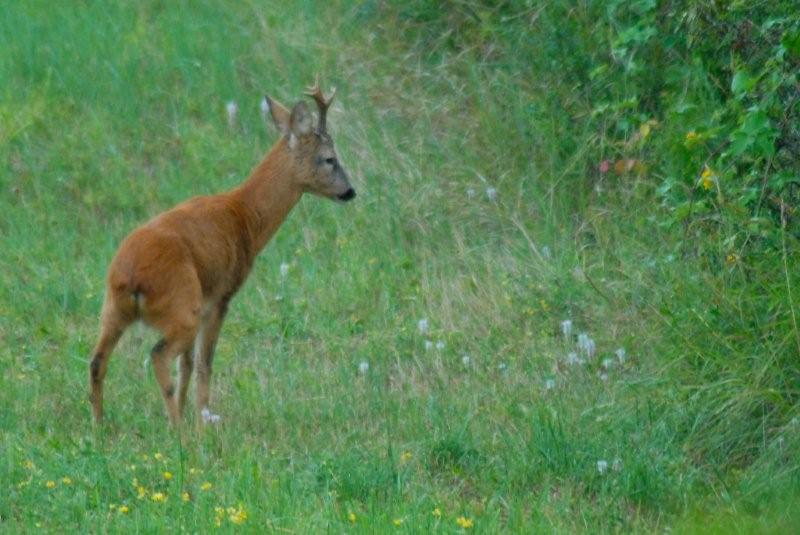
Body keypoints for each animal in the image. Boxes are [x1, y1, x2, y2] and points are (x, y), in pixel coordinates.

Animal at [86, 79, 354, 428]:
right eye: (330, 158)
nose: (350, 191)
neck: (246, 216)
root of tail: (129, 276)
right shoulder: (220, 297)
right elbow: (203, 363)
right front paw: (202, 417)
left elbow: (187, 365)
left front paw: (191, 411)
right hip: (181, 305)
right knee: (158, 355)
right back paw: (177, 429)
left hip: (113, 309)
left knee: (97, 361)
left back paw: (99, 424)